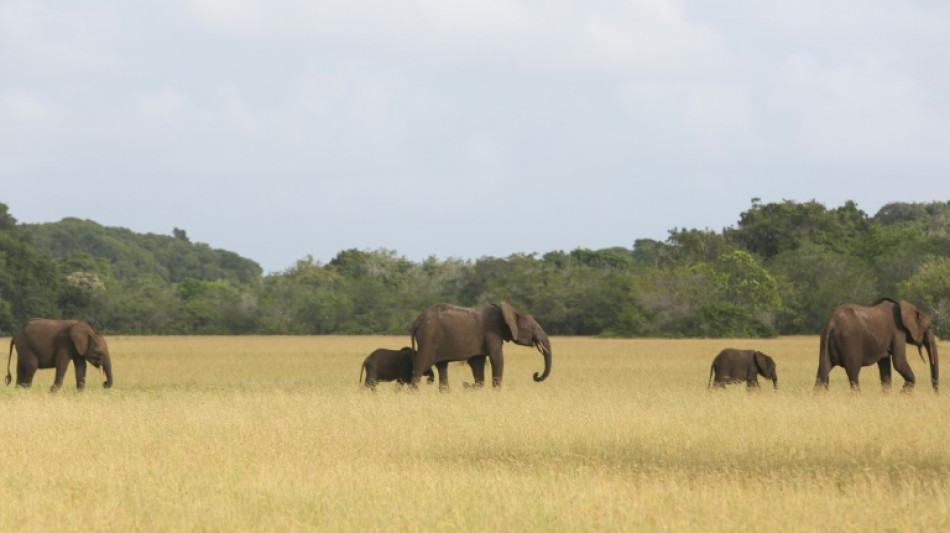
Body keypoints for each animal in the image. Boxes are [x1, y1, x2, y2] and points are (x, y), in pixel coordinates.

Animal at [408, 302, 552, 388]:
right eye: (533, 327)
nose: (536, 375)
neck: (506, 312)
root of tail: (416, 322)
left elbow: (477, 363)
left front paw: (474, 387)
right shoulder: (492, 333)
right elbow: (497, 360)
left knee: (442, 367)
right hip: (428, 338)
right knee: (421, 366)